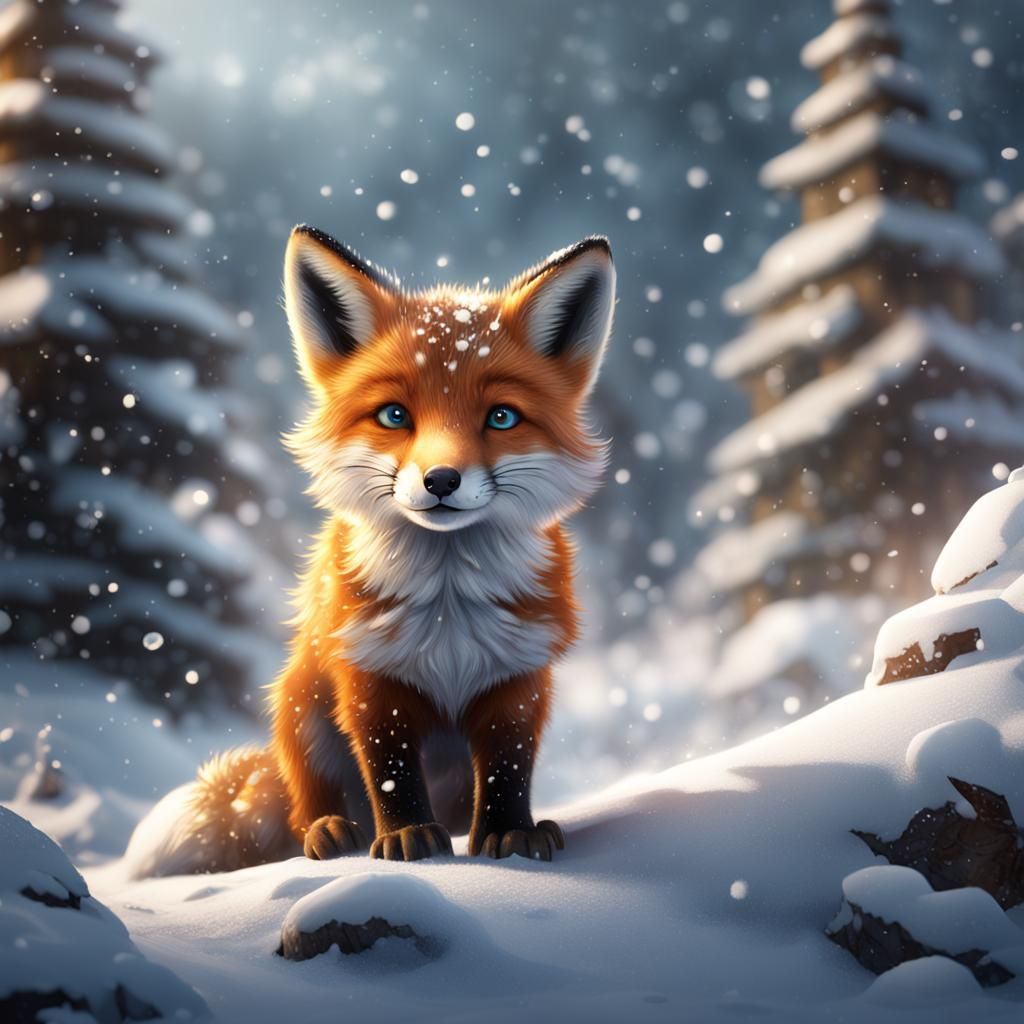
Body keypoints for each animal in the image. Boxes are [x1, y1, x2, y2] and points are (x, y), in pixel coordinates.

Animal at [125, 225, 615, 875]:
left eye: (502, 418)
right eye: (394, 415)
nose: (441, 480)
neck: (448, 607)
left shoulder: (518, 676)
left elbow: (507, 770)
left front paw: (511, 835)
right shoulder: (368, 674)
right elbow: (390, 772)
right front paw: (406, 838)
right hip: (299, 708)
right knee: (306, 808)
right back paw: (332, 832)